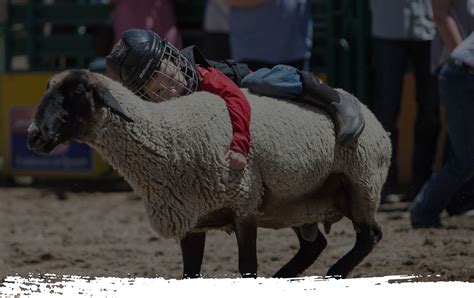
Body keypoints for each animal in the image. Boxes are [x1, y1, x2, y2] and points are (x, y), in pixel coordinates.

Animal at [27, 69, 392, 280]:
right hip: (298, 201)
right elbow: (189, 275)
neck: (168, 136)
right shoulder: (192, 217)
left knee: (369, 236)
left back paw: (334, 273)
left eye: (76, 92)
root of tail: (375, 118)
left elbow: (247, 270)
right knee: (314, 245)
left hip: (361, 184)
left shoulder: (243, 204)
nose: (33, 135)